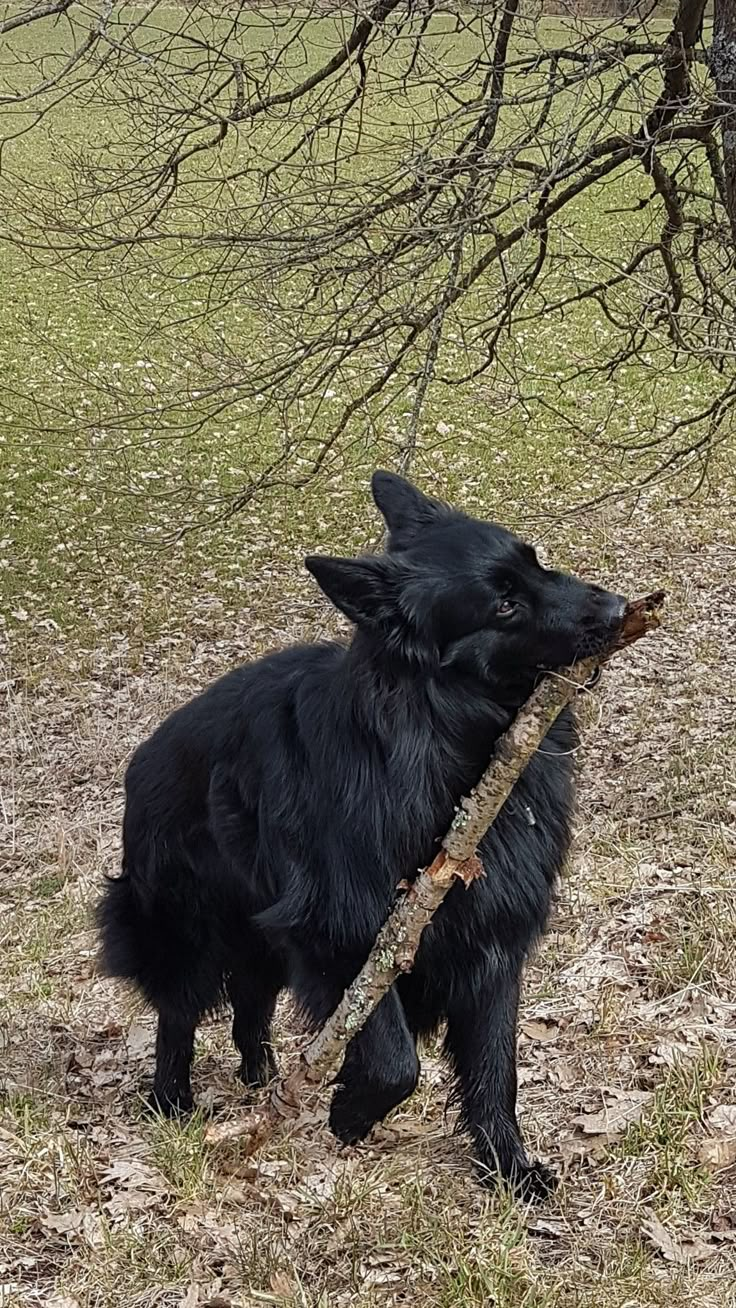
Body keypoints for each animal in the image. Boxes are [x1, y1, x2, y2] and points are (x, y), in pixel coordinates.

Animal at [98, 476, 624, 1198]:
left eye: (537, 562)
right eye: (504, 603)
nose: (622, 608)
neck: (444, 742)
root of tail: (143, 755)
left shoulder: (493, 941)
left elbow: (496, 1068)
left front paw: (506, 1167)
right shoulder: (349, 931)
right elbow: (396, 1058)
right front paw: (351, 1113)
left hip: (262, 937)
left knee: (251, 1004)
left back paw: (266, 1084)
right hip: (192, 934)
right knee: (178, 1015)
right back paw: (174, 1103)